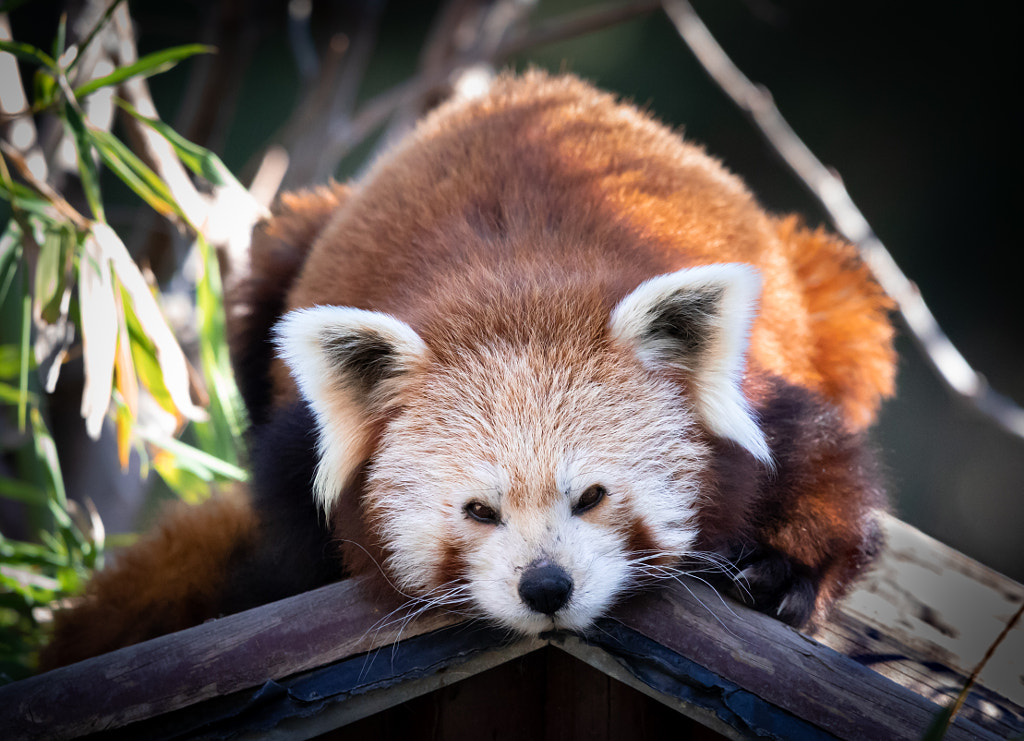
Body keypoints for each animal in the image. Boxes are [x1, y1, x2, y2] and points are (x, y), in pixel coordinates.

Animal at [39, 72, 892, 667]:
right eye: (478, 510)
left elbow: (819, 462)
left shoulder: (759, 391)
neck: (520, 287)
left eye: (592, 495)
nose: (545, 586)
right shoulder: (298, 447)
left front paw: (779, 569)